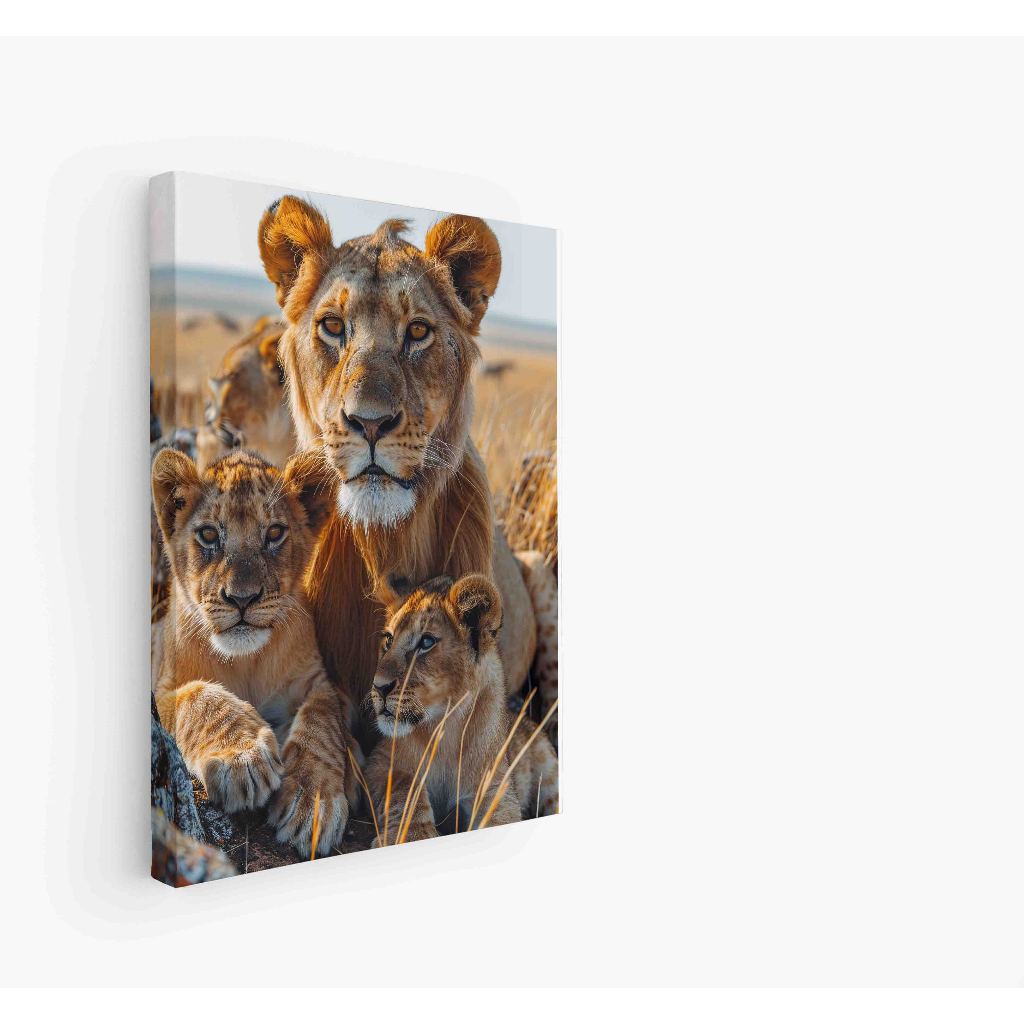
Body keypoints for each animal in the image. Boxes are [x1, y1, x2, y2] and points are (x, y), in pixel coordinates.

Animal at [151, 447, 355, 857]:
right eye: (209, 534)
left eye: (274, 532)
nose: (242, 598)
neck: (246, 661)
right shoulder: (160, 688)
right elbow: (197, 698)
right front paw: (243, 759)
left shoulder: (319, 681)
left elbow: (322, 724)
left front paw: (313, 803)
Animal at [363, 574, 558, 845]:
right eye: (389, 640)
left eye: (426, 642)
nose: (378, 687)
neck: (445, 727)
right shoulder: (378, 763)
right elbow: (405, 785)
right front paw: (412, 834)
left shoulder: (497, 788)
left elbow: (500, 818)